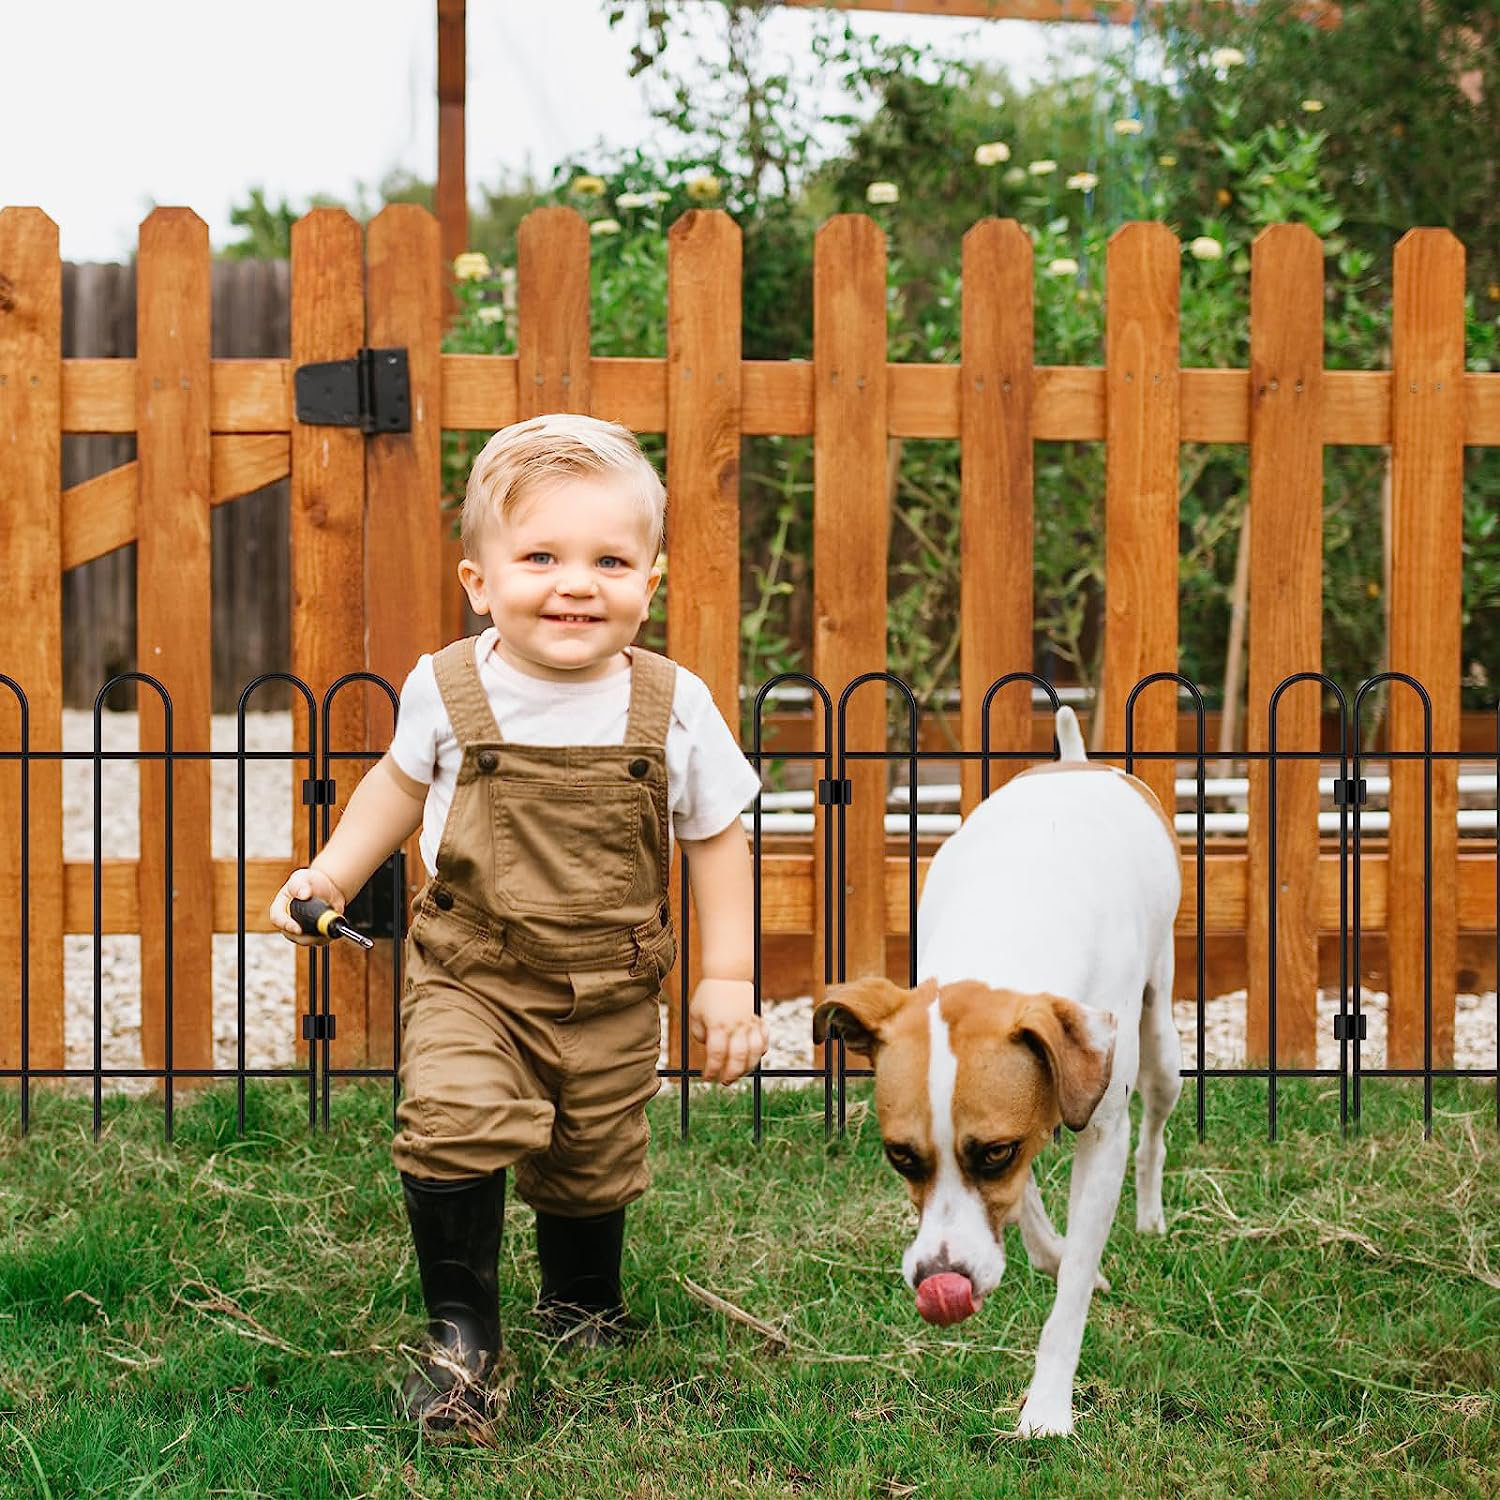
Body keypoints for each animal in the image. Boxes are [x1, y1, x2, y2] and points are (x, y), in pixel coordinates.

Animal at [816, 708, 1176, 1434]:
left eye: (993, 1153)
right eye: (900, 1157)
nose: (939, 1276)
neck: (1012, 916)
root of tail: (1076, 761)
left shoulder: (1094, 1130)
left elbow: (1070, 1295)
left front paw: (1048, 1407)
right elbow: (1032, 1198)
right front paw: (1053, 1253)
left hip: (1163, 1043)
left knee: (1155, 1124)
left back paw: (1149, 1215)